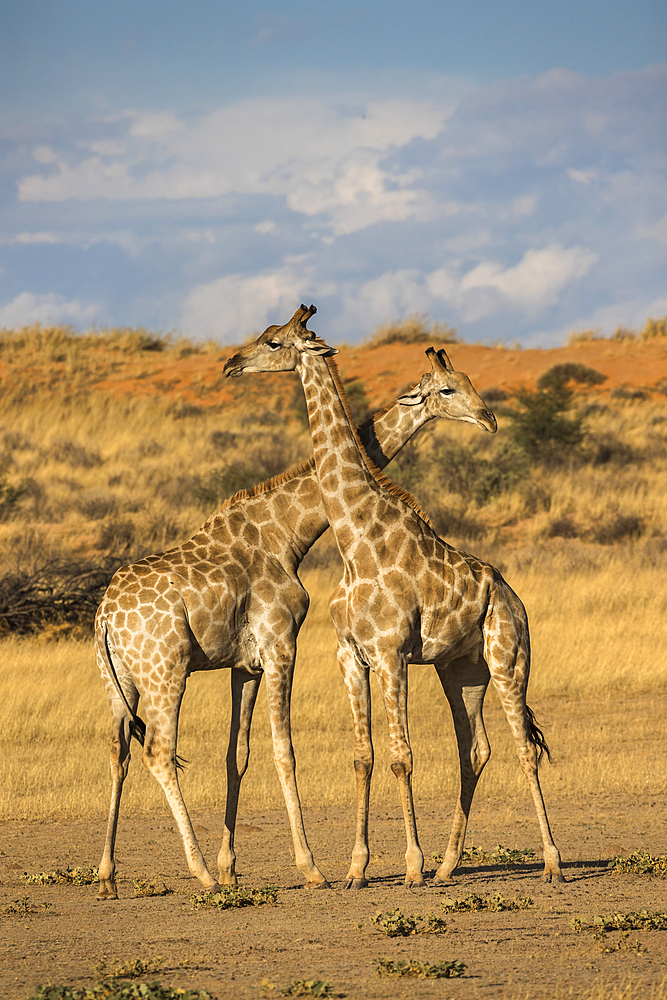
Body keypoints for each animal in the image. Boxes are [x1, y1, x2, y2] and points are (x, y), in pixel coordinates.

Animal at [94, 334, 496, 900]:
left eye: (466, 383)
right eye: (447, 389)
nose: (488, 418)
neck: (288, 531)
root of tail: (105, 616)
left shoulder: (245, 664)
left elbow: (237, 755)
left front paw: (232, 866)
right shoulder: (282, 643)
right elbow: (284, 750)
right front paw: (308, 868)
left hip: (120, 682)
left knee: (118, 751)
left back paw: (107, 875)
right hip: (165, 670)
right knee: (158, 750)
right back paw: (199, 873)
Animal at [224, 304, 564, 892]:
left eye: (273, 342)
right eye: (449, 388)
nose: (232, 362)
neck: (354, 537)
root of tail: (515, 599)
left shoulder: (391, 653)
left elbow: (401, 756)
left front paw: (409, 865)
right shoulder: (351, 655)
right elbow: (363, 756)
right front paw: (357, 869)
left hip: (508, 658)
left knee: (524, 747)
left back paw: (550, 863)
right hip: (462, 669)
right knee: (475, 749)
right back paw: (449, 866)